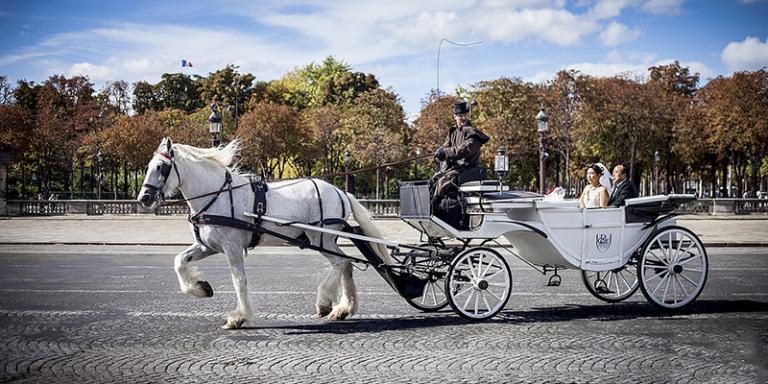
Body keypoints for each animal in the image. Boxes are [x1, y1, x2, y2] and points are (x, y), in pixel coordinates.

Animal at [136, 139, 396, 330]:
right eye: (147, 166)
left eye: (160, 167)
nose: (143, 198)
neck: (218, 194)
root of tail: (341, 191)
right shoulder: (207, 246)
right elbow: (179, 261)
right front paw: (200, 288)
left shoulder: (232, 247)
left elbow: (239, 281)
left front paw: (238, 317)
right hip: (326, 240)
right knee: (346, 264)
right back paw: (343, 309)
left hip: (320, 238)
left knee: (340, 263)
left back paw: (324, 302)